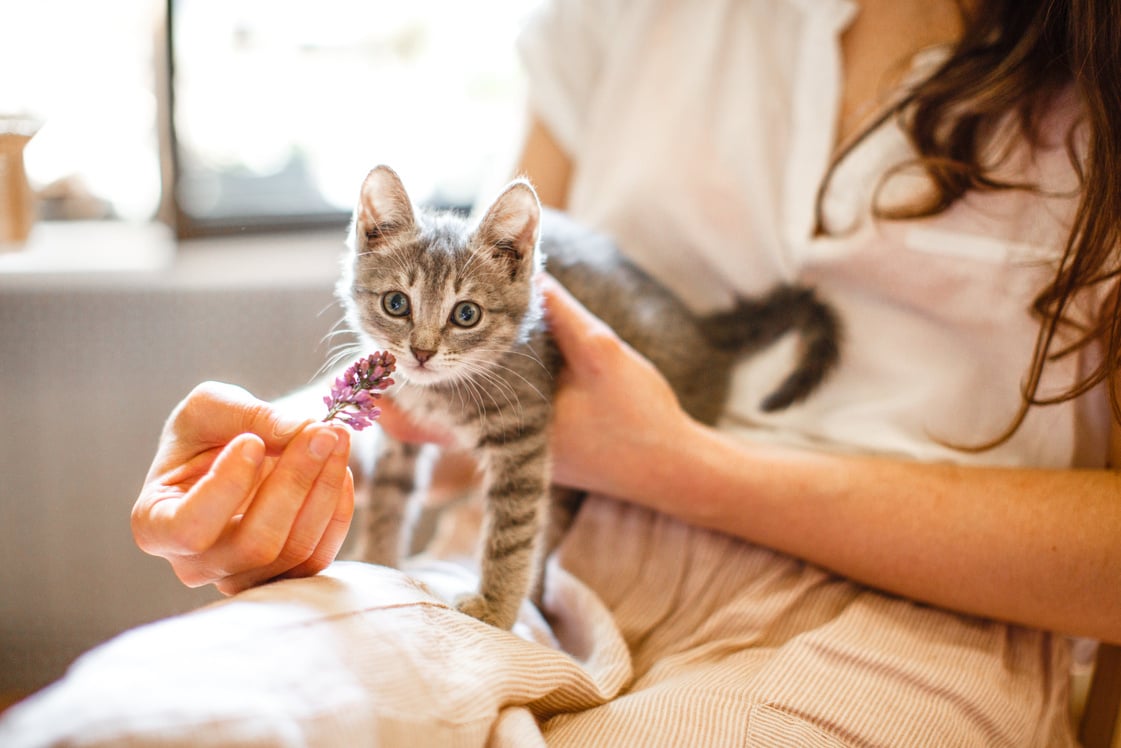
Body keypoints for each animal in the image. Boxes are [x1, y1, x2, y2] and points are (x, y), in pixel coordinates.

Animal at [340, 167, 842, 628]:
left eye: (466, 314)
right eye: (396, 303)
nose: (422, 352)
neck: (440, 391)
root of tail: (701, 330)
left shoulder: (523, 432)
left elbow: (514, 528)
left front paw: (496, 609)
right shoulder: (401, 435)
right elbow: (389, 496)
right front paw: (379, 563)